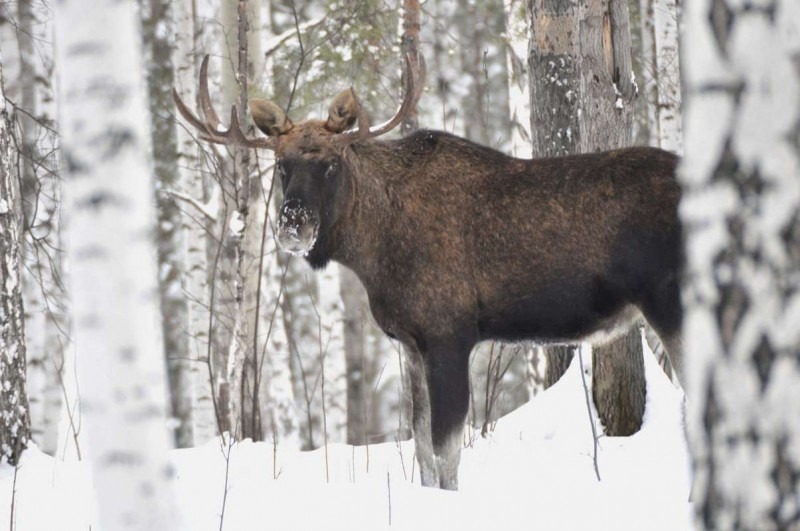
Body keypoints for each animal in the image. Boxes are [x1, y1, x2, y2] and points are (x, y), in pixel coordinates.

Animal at [175, 53, 680, 490]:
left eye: (331, 165)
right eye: (282, 165)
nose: (293, 225)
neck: (373, 252)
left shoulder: (449, 335)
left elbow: (445, 452)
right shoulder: (410, 342)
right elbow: (420, 449)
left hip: (670, 302)